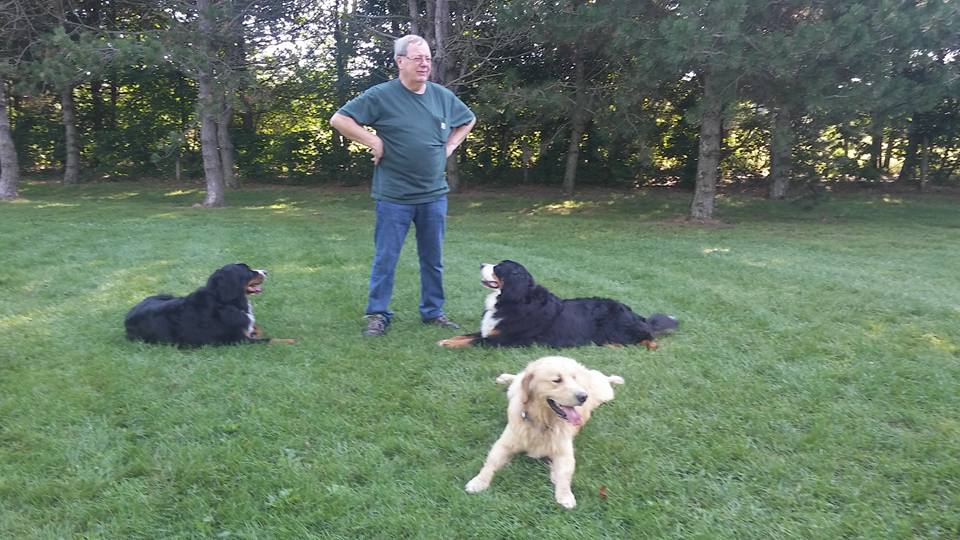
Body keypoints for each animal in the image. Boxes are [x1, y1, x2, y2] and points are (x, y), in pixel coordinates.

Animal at [124, 263, 292, 347]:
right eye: (249, 272)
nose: (265, 271)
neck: (224, 302)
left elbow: (257, 327)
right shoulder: (239, 340)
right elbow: (271, 339)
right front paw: (291, 341)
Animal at [439, 260, 677, 349]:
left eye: (497, 268)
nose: (481, 264)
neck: (512, 298)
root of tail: (634, 313)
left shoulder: (505, 340)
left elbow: (474, 341)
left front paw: (448, 344)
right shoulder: (490, 331)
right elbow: (468, 335)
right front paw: (446, 339)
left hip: (617, 328)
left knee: (648, 337)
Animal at [465, 356, 624, 508]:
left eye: (574, 378)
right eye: (557, 380)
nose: (583, 396)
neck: (542, 421)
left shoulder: (564, 453)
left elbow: (564, 475)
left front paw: (565, 495)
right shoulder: (504, 444)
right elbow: (490, 464)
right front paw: (478, 481)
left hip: (605, 393)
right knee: (517, 378)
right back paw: (505, 377)